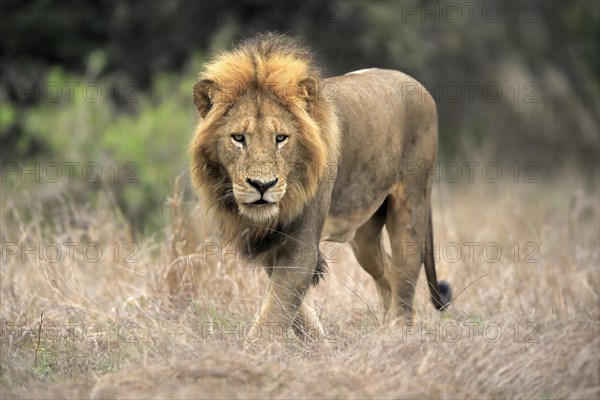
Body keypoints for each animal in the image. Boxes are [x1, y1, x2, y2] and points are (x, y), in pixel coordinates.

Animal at [189, 32, 450, 346]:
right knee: (386, 273)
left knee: (405, 280)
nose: (262, 185)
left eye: (281, 138)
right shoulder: (271, 245)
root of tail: (415, 83)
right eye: (238, 138)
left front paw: (249, 354)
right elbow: (293, 310)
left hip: (411, 205)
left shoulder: (301, 245)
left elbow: (274, 313)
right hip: (365, 235)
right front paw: (321, 348)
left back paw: (397, 337)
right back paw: (383, 332)